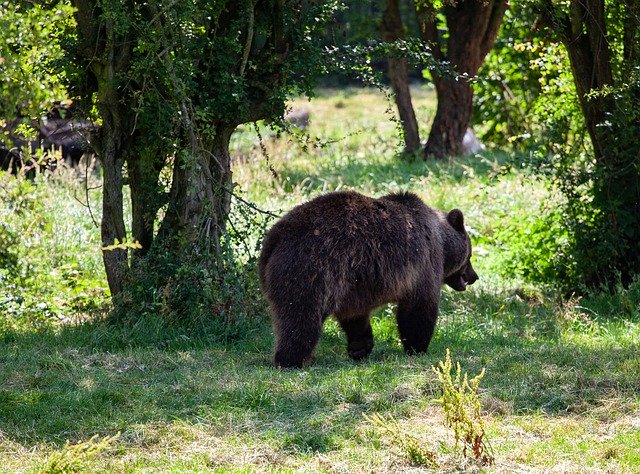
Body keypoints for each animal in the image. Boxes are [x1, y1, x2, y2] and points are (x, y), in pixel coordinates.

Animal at [258, 191, 478, 368]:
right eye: (470, 255)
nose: (474, 277)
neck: (441, 242)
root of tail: (274, 238)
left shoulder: (353, 286)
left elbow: (355, 316)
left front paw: (359, 348)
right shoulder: (423, 265)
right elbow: (419, 309)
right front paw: (418, 347)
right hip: (310, 270)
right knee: (300, 318)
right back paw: (290, 360)